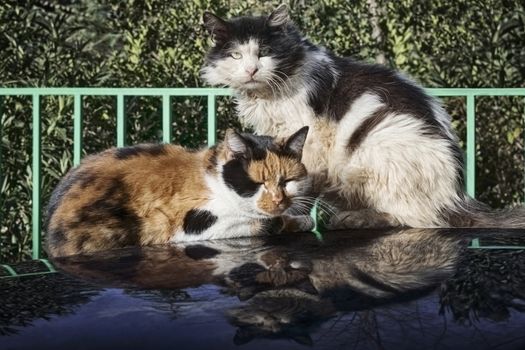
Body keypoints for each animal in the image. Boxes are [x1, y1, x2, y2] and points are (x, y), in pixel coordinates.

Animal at [45, 126, 312, 258]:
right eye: (258, 183)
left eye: (287, 181)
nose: (278, 200)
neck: (214, 178)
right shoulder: (195, 224)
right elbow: (266, 223)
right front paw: (296, 221)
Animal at [201, 4, 524, 230]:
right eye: (235, 55)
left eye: (264, 52)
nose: (251, 70)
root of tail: (455, 197)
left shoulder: (311, 140)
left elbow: (300, 181)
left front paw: (294, 217)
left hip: (383, 147)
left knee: (416, 217)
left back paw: (356, 218)